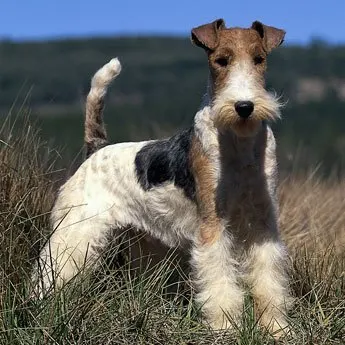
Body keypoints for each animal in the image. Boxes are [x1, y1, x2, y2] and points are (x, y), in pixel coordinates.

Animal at [33, 18, 292, 336]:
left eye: (259, 59)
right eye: (221, 61)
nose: (244, 107)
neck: (239, 144)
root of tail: (97, 148)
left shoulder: (263, 222)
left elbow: (269, 279)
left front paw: (277, 328)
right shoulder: (212, 224)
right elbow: (220, 280)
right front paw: (225, 327)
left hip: (141, 241)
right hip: (76, 230)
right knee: (50, 271)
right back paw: (39, 308)